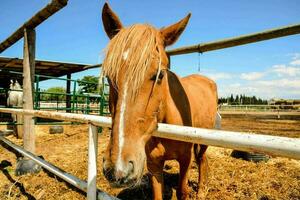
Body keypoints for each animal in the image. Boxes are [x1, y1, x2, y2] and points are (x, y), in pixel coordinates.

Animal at [102, 3, 217, 200]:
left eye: (160, 74)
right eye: (109, 77)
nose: (118, 168)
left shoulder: (185, 160)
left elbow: (182, 191)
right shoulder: (154, 165)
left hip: (203, 140)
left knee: (202, 160)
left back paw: (201, 191)